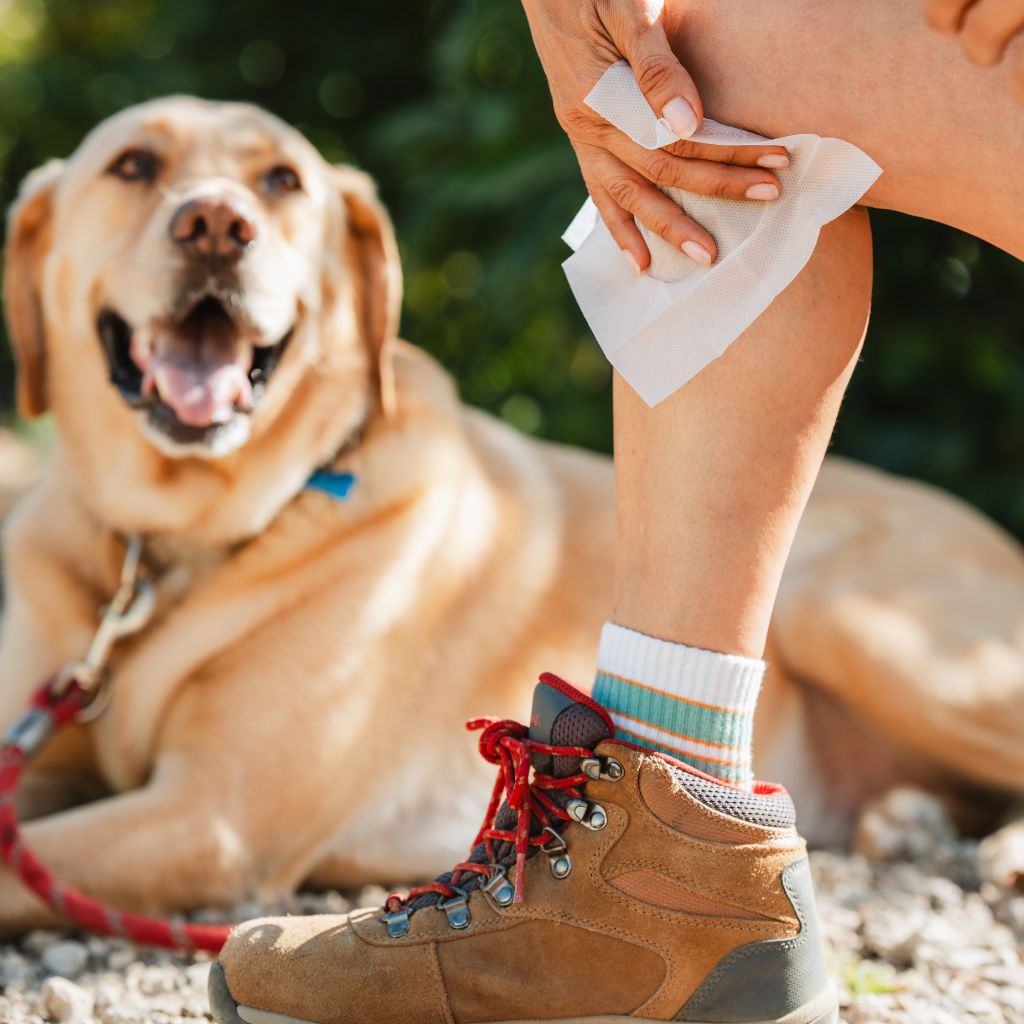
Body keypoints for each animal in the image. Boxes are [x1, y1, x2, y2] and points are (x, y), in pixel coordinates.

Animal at [2, 99, 1024, 933]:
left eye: (282, 181)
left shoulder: (212, 812)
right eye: (133, 165)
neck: (171, 542)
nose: (216, 224)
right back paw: (907, 820)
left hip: (859, 621)